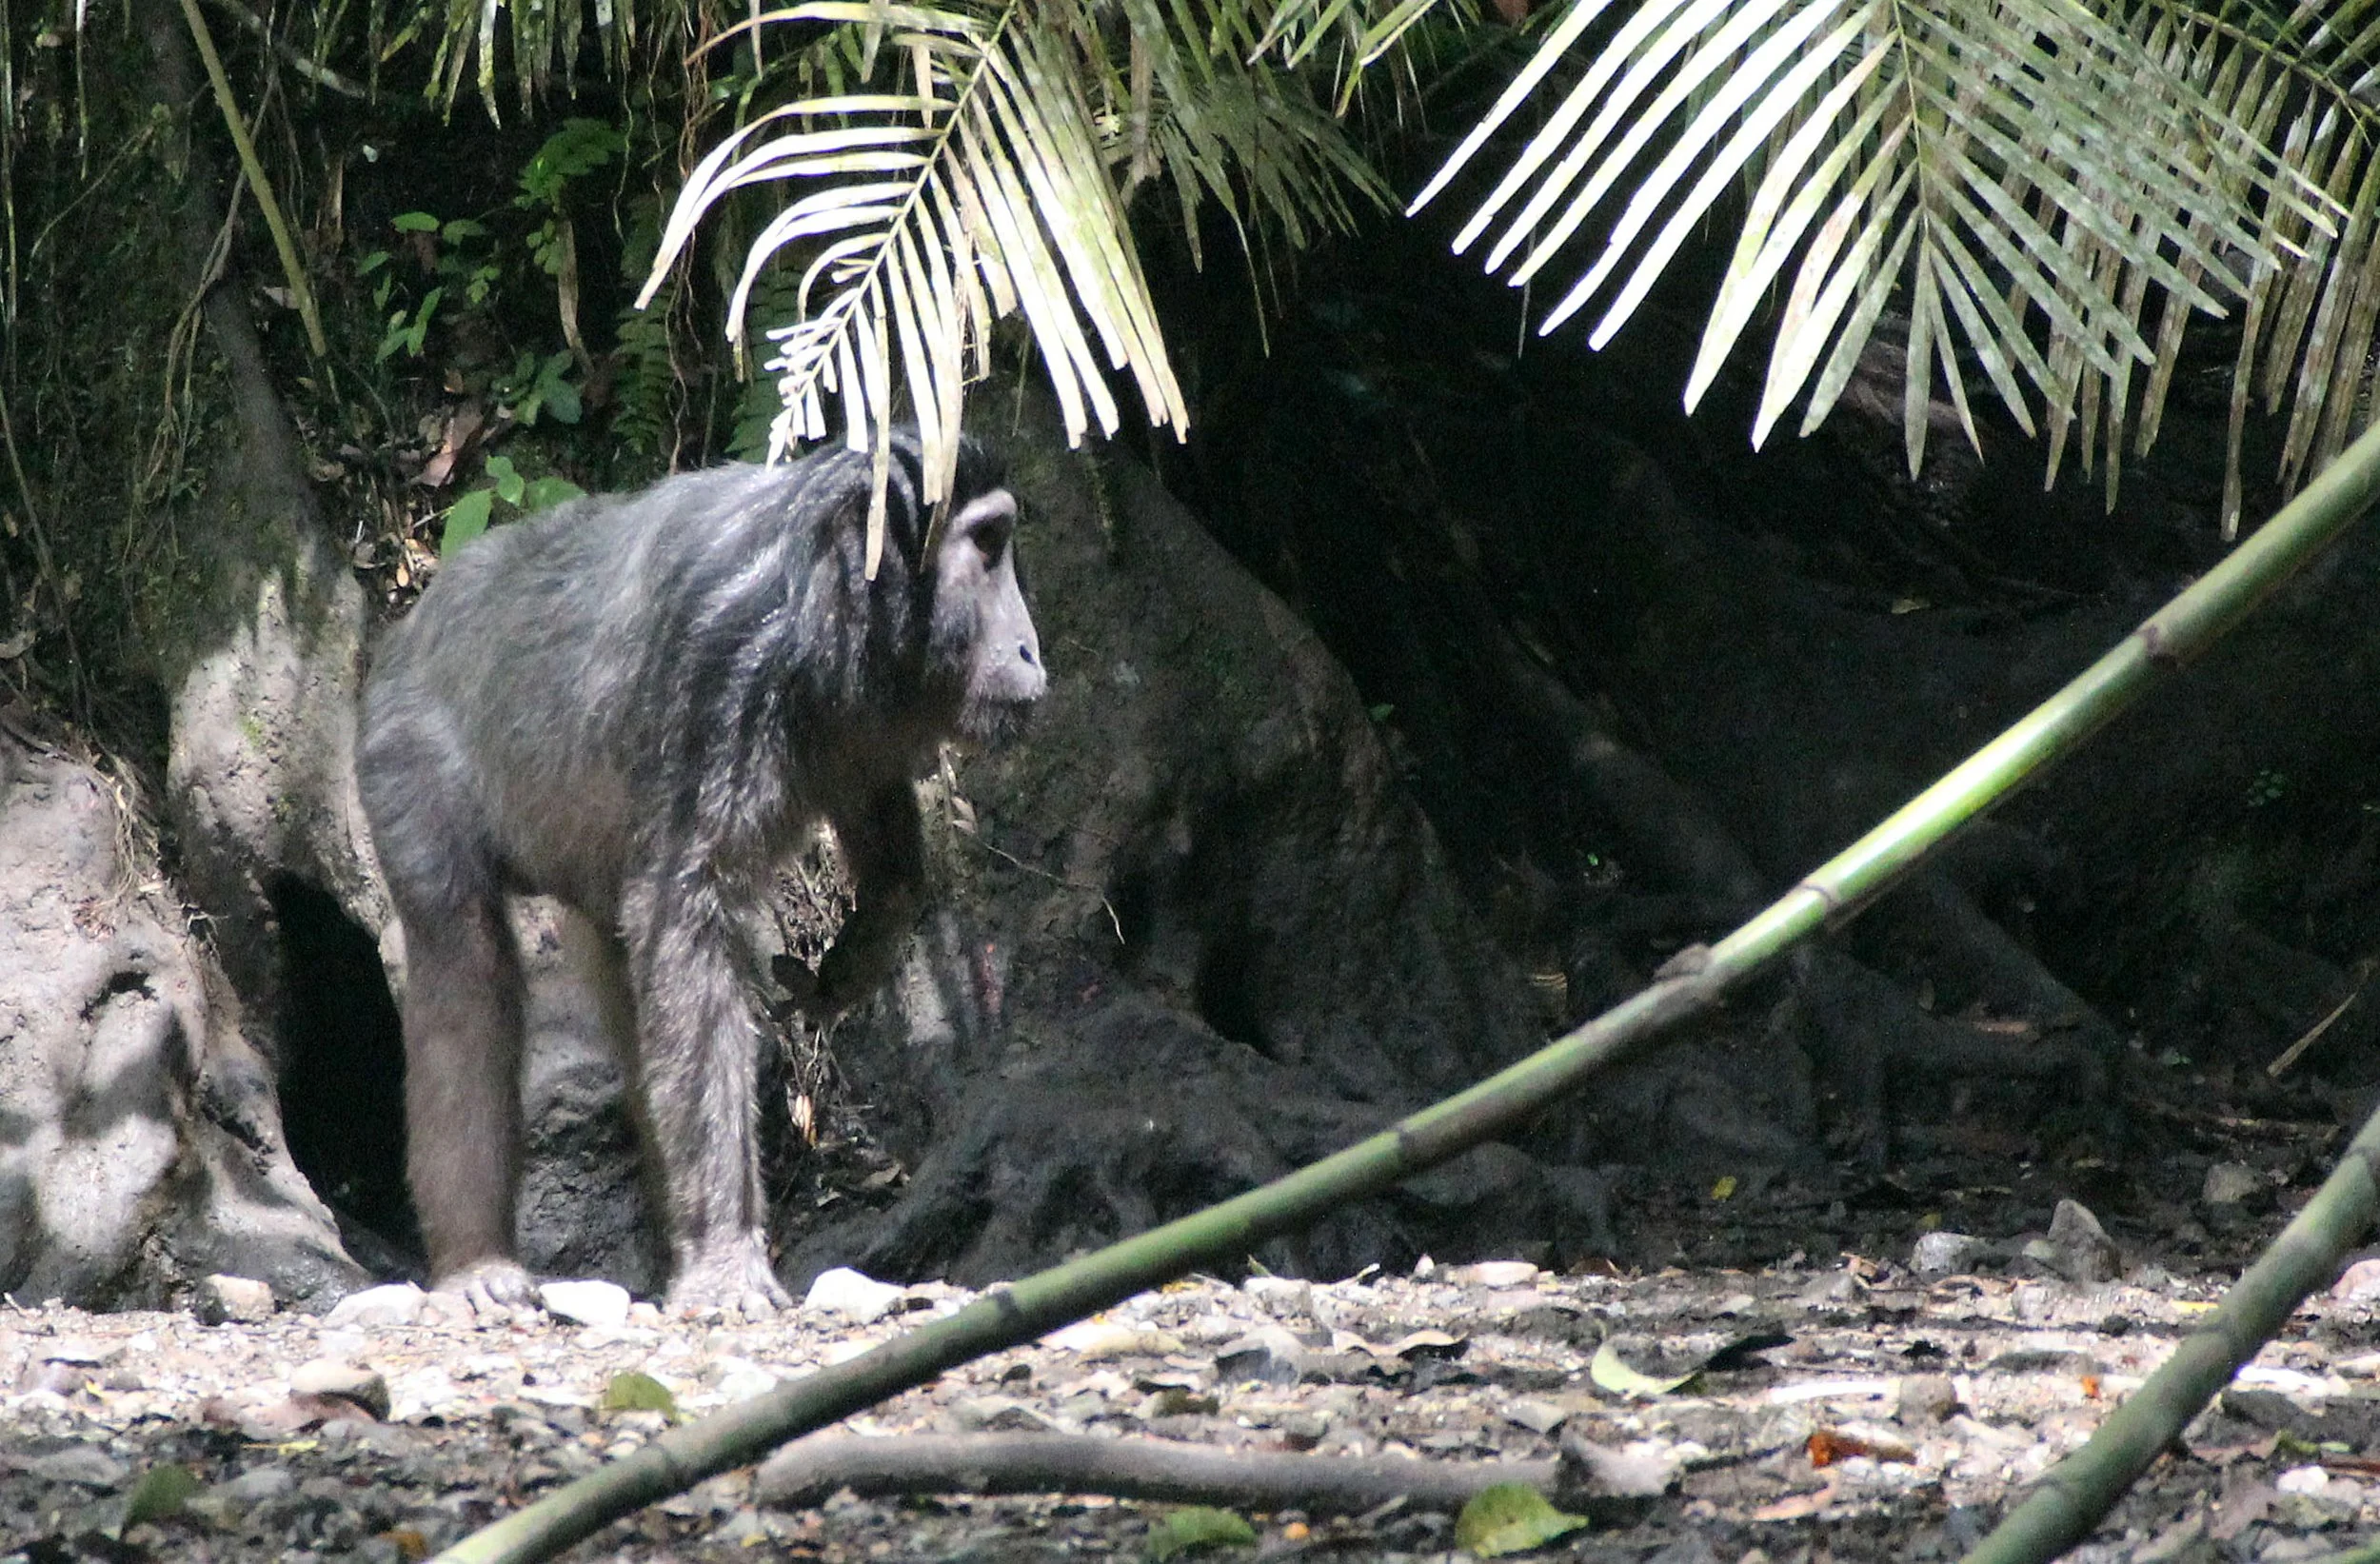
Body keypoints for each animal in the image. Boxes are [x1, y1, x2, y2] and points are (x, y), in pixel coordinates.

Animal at [356, 432, 1043, 1315]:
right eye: (988, 546)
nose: (1029, 645)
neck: (823, 588)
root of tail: (411, 621)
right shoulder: (720, 654)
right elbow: (688, 919)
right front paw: (725, 1257)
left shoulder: (871, 703)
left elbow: (877, 828)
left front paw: (855, 957)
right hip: (399, 747)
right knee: (463, 961)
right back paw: (477, 1260)